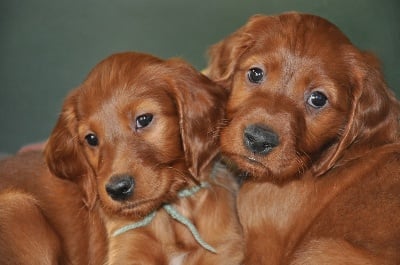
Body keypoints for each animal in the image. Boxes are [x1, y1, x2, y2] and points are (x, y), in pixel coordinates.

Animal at [0, 52, 244, 264]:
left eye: (143, 119)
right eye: (91, 138)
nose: (117, 189)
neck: (171, 212)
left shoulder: (224, 250)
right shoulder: (126, 252)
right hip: (20, 209)